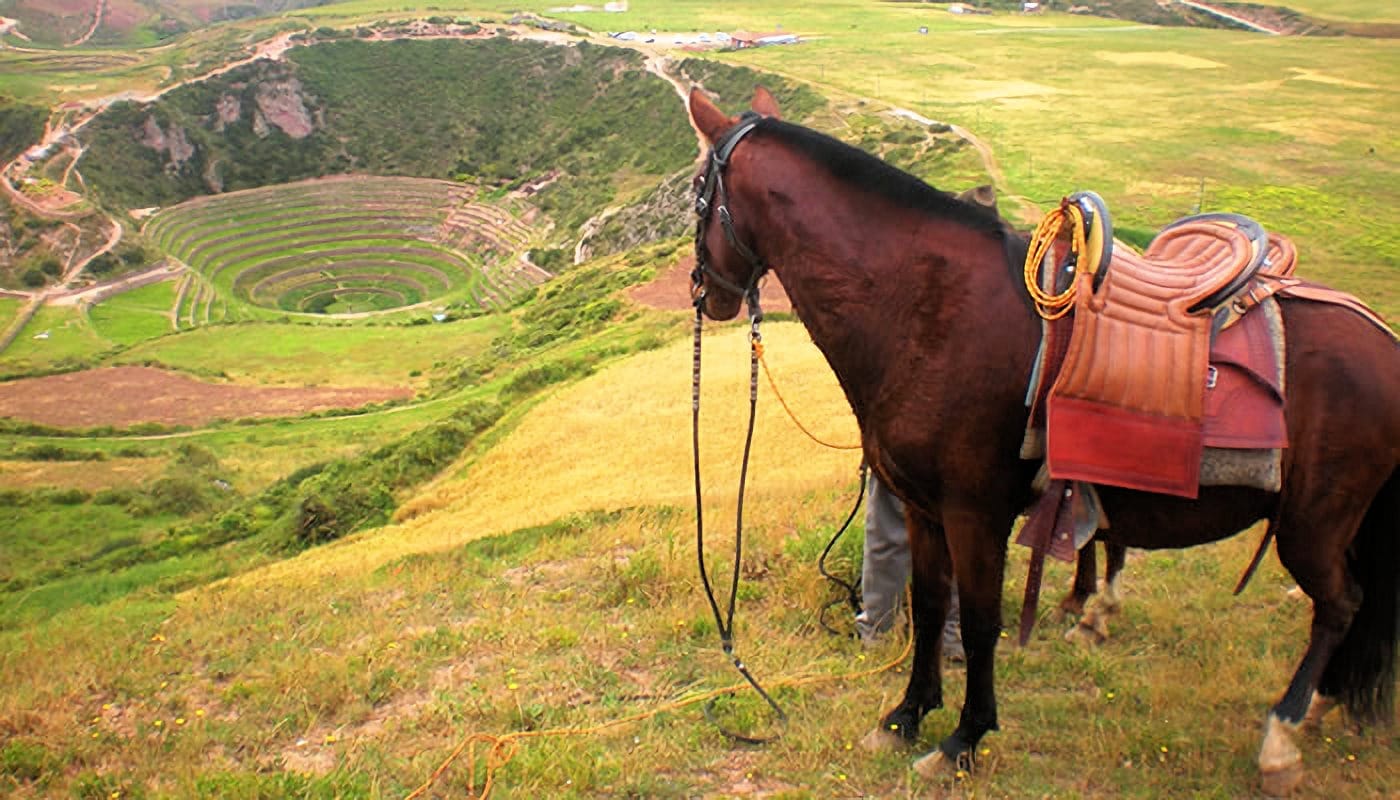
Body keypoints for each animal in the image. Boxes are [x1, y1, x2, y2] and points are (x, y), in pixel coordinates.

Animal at [686, 87, 1398, 795]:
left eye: (695, 192)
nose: (705, 293)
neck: (929, 309)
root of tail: (1385, 340)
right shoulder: (924, 511)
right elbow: (929, 604)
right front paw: (906, 716)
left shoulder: (975, 515)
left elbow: (979, 623)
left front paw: (963, 739)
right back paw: (1320, 703)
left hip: (1313, 524)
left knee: (1340, 605)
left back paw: (1283, 732)